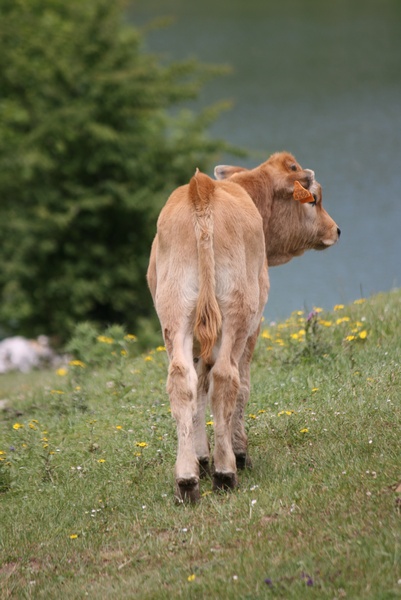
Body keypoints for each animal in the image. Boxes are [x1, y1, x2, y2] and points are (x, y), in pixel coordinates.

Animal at [145, 151, 340, 502]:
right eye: (314, 199)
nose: (336, 229)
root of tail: (202, 188)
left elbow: (199, 389)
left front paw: (201, 457)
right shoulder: (254, 327)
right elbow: (241, 386)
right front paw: (237, 453)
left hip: (175, 313)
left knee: (181, 379)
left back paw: (186, 479)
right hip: (238, 312)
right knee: (227, 378)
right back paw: (225, 472)